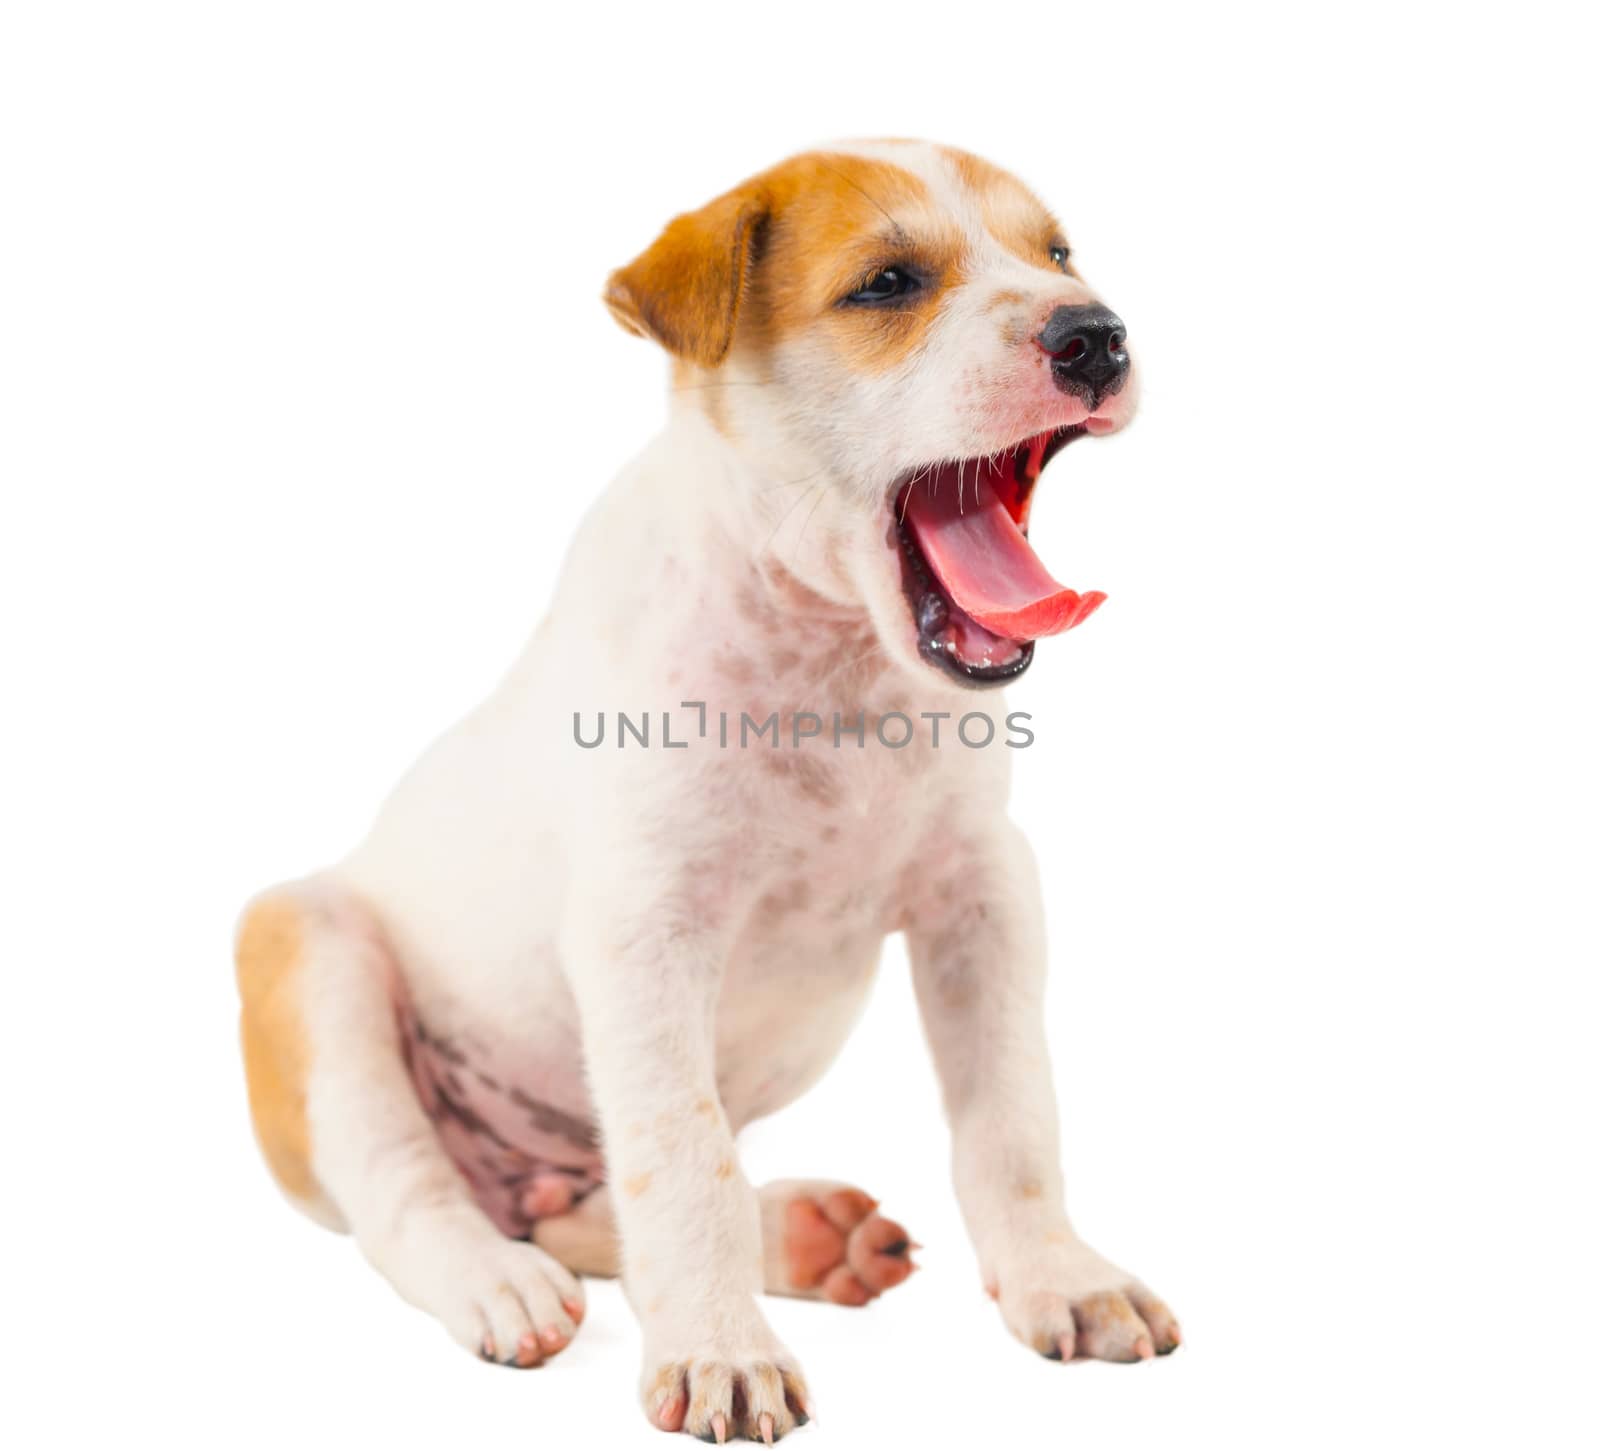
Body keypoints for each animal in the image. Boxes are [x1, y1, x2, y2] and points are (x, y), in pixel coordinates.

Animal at [240, 139, 1190, 1439]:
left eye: (1056, 253)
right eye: (888, 283)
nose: (1095, 334)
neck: (836, 659)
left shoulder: (985, 894)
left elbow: (1012, 1112)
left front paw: (1063, 1275)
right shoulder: (645, 928)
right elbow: (682, 1161)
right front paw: (719, 1350)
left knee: (592, 1206)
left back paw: (800, 1233)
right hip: (307, 939)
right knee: (409, 1189)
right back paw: (500, 1279)